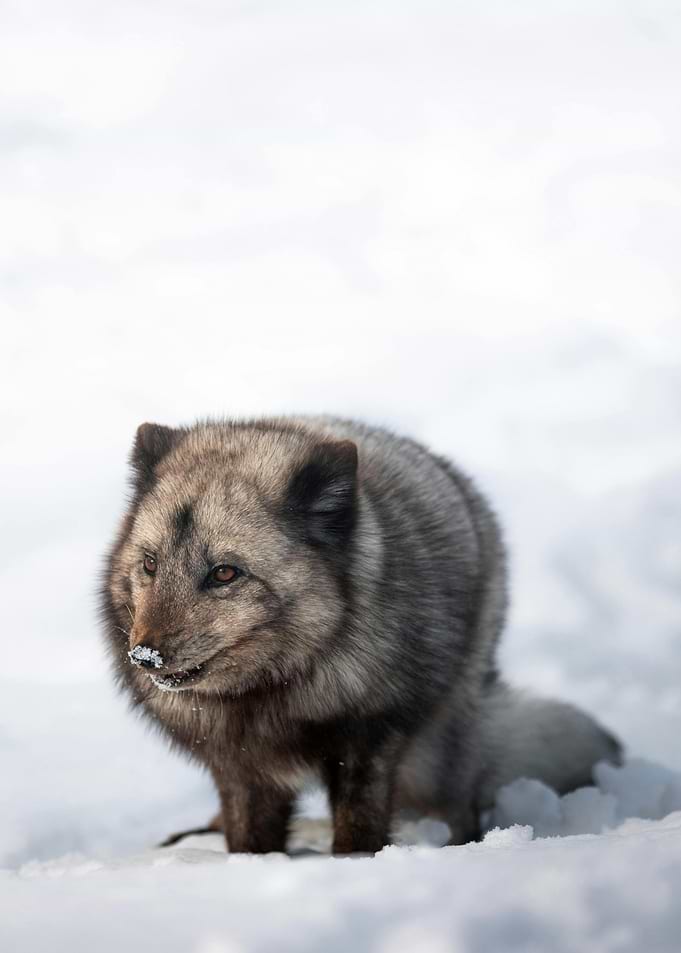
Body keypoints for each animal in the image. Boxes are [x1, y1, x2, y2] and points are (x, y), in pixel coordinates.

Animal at [101, 416, 621, 854]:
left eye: (224, 573)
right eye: (150, 564)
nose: (145, 656)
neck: (270, 692)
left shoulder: (370, 740)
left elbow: (358, 829)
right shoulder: (238, 767)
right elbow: (248, 840)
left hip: (436, 754)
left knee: (458, 806)